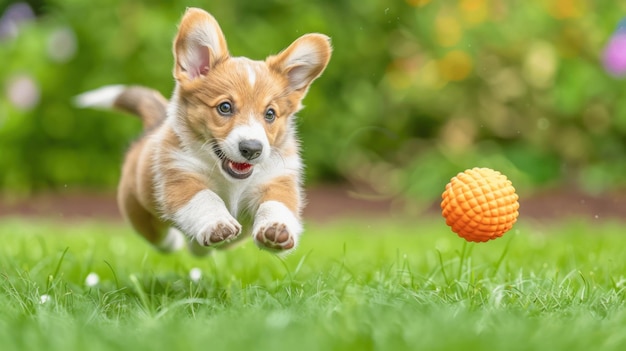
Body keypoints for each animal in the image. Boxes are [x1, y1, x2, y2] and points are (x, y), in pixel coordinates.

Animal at [76, 8, 332, 256]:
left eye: (270, 114)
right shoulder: (180, 176)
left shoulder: (277, 179)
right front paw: (217, 224)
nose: (252, 149)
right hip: (134, 204)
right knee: (155, 233)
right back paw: (175, 243)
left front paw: (277, 230)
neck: (230, 180)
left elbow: (277, 205)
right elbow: (205, 198)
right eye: (225, 107)